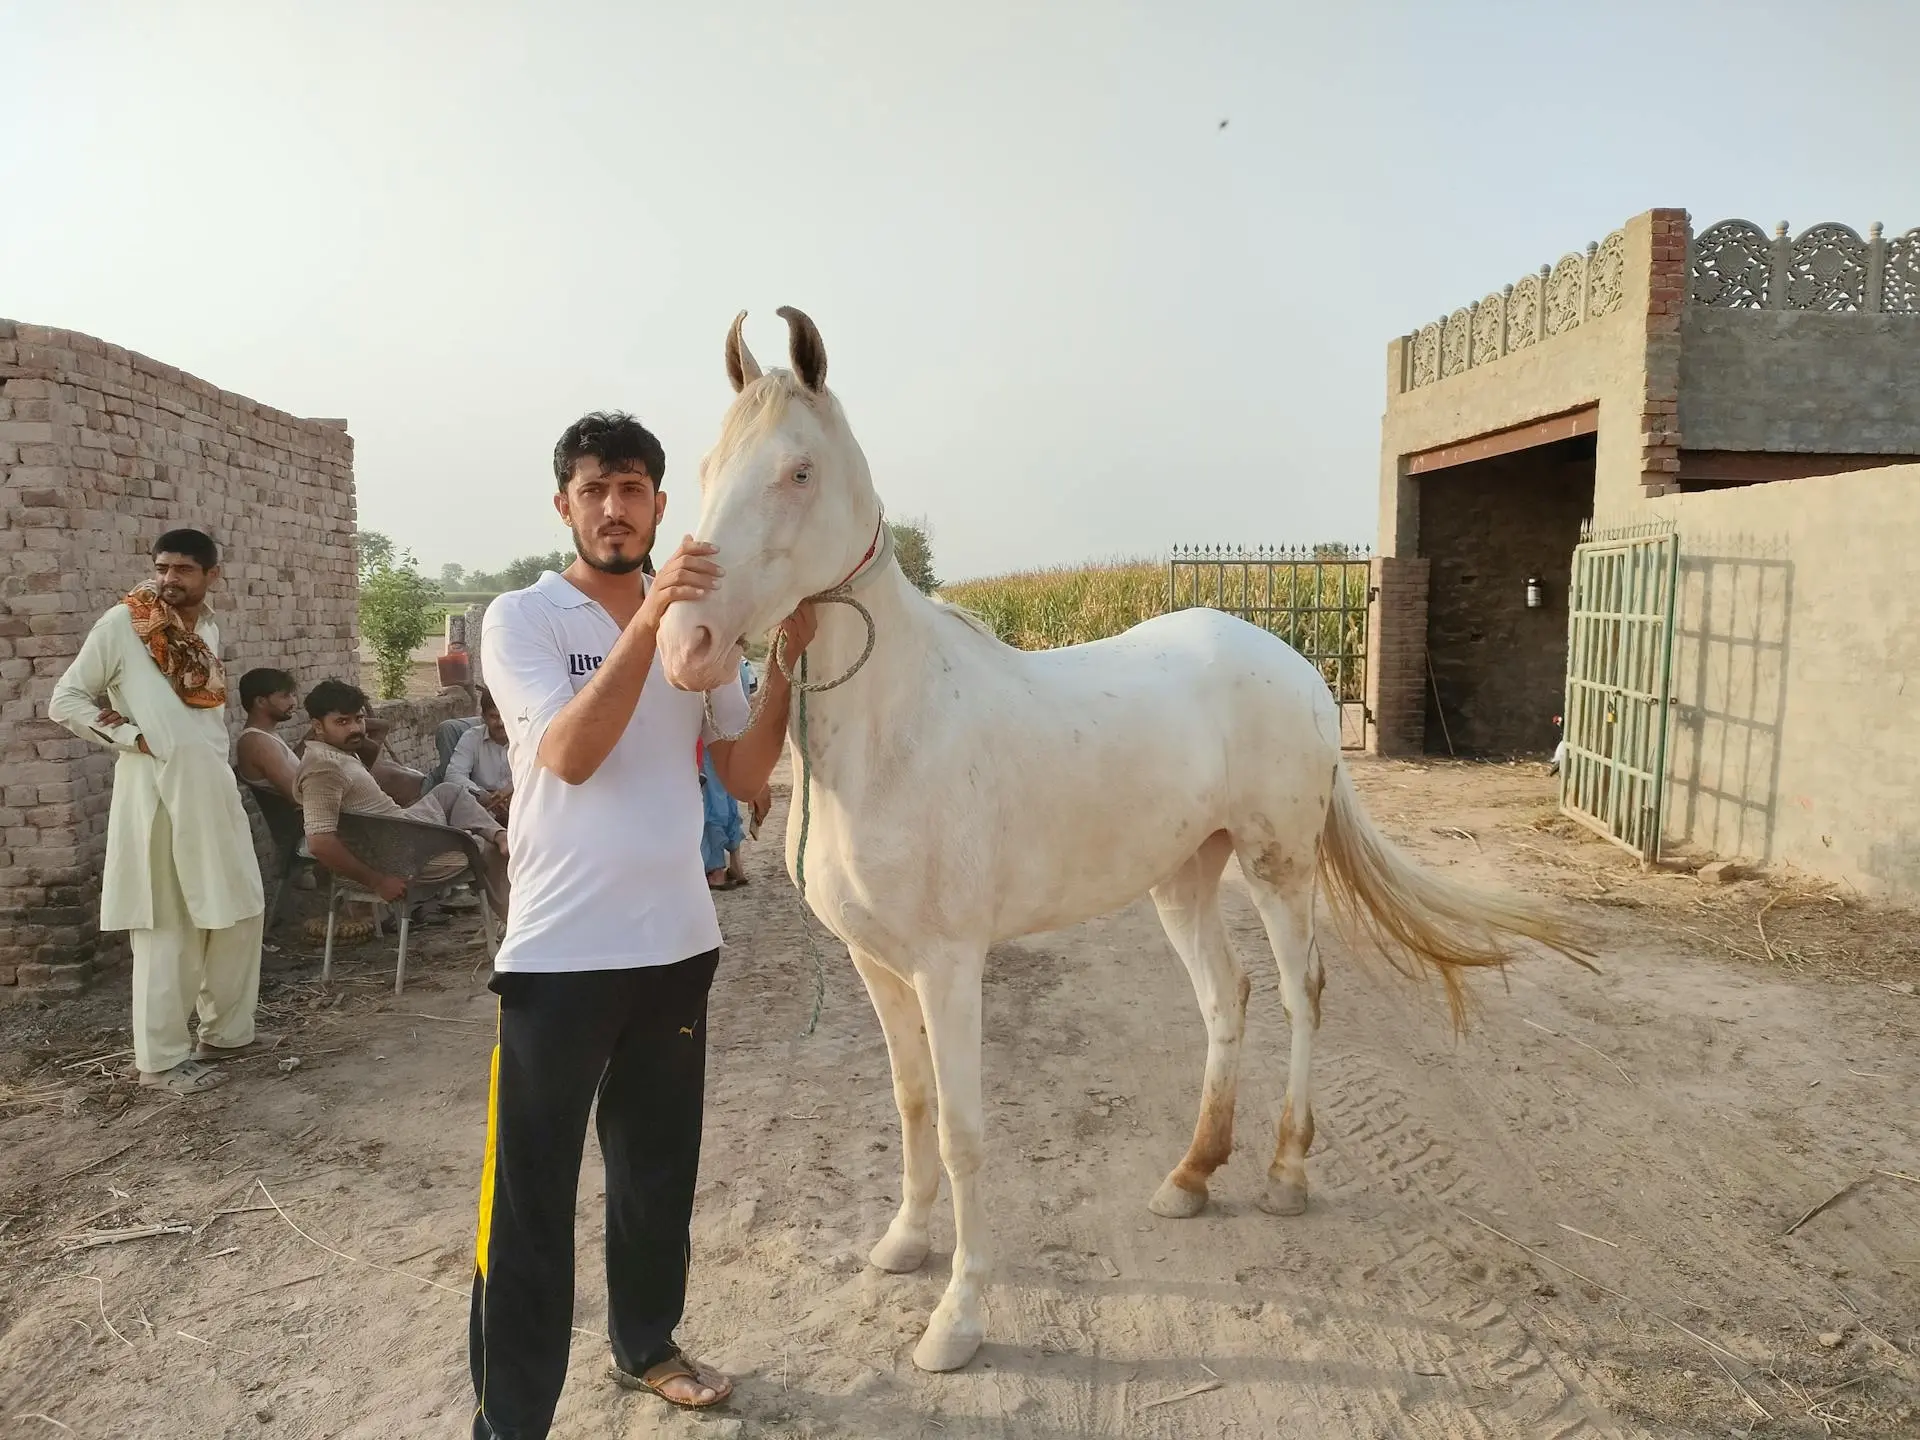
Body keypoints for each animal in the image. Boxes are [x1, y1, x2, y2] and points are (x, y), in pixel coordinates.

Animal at [660, 307, 1589, 1374]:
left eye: (799, 471)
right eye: (705, 466)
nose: (685, 645)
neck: (899, 730)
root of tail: (1299, 667)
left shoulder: (948, 965)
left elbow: (965, 1132)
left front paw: (958, 1316)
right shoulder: (876, 963)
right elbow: (912, 1105)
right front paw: (901, 1244)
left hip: (1278, 866)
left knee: (1302, 994)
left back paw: (1285, 1172)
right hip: (1182, 878)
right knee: (1226, 999)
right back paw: (1191, 1177)